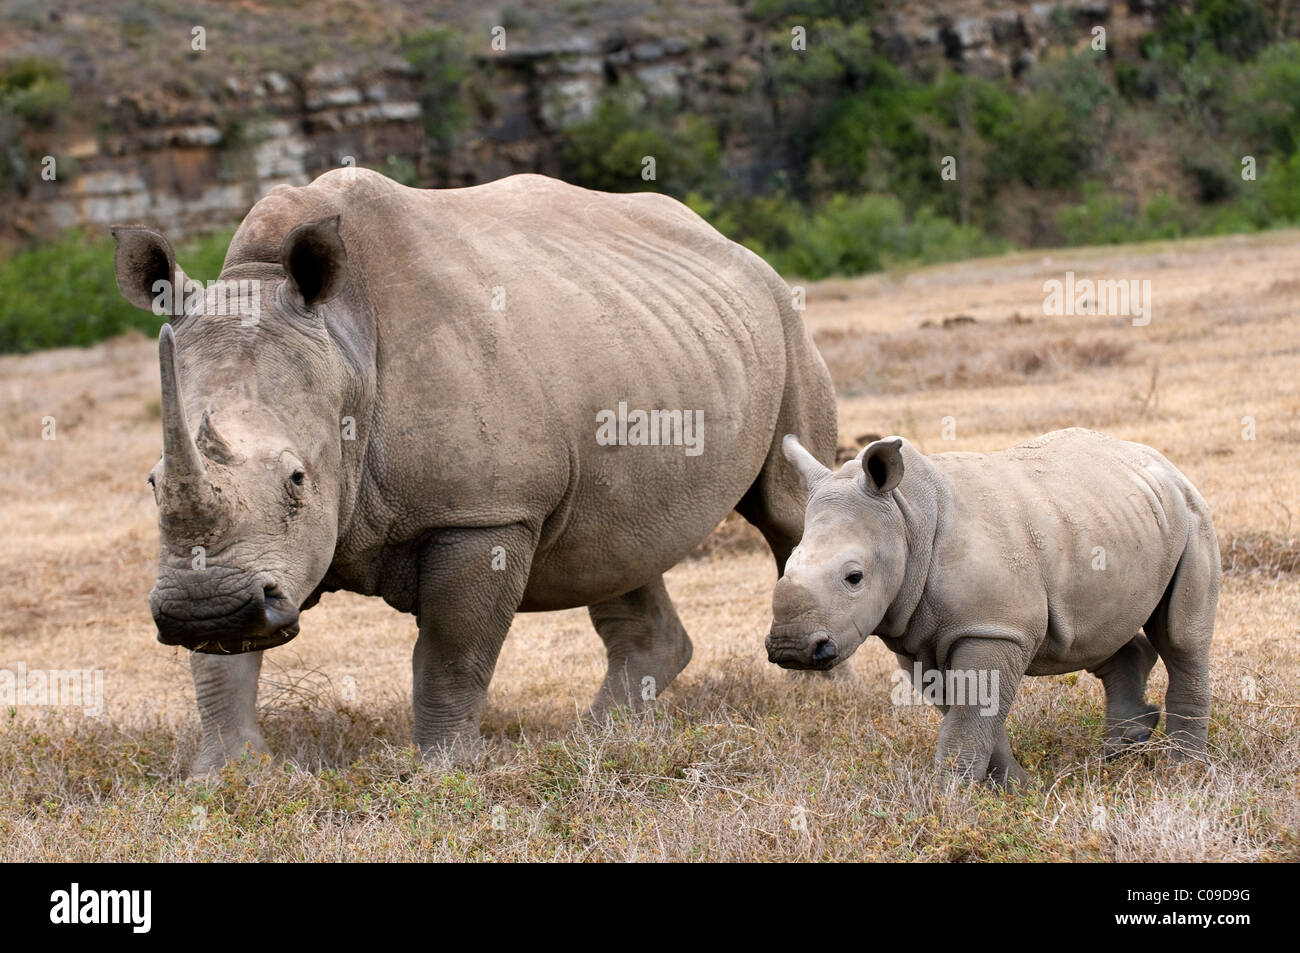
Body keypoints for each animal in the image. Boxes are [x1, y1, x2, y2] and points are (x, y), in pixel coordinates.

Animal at [116, 169, 837, 774]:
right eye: (152, 482)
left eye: (297, 479)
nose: (203, 610)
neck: (346, 346)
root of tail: (732, 245)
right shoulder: (233, 562)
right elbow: (221, 667)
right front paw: (225, 778)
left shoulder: (484, 513)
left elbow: (451, 652)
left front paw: (441, 771)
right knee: (615, 546)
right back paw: (594, 739)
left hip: (786, 321)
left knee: (788, 512)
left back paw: (827, 700)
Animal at [764, 426, 1211, 785]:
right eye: (787, 566)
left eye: (854, 577)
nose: (791, 648)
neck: (906, 518)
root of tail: (1164, 464)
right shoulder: (918, 636)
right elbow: (968, 715)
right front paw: (1016, 788)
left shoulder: (993, 627)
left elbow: (968, 717)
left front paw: (948, 801)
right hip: (1107, 516)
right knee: (1097, 635)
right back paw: (1123, 751)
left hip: (1192, 513)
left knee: (1181, 638)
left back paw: (1182, 770)